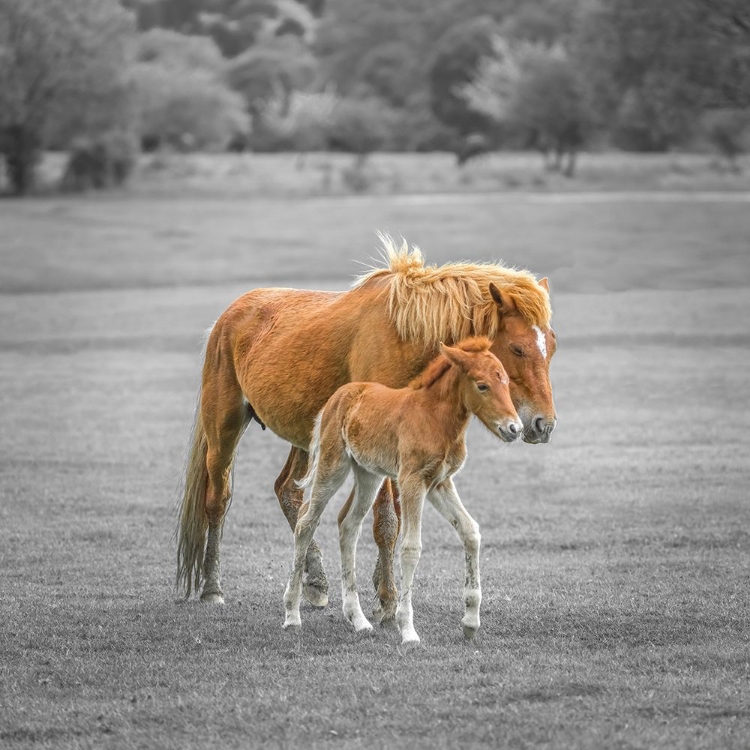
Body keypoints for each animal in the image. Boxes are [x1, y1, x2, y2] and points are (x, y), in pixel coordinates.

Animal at [282, 338, 524, 644]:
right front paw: (408, 630)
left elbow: (470, 531)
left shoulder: (439, 483)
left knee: (348, 524)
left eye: (505, 380)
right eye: (482, 385)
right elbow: (411, 547)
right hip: (332, 466)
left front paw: (470, 622)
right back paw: (292, 615)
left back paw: (358, 619)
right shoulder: (412, 481)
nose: (514, 428)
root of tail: (337, 397)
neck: (434, 417)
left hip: (369, 475)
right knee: (307, 522)